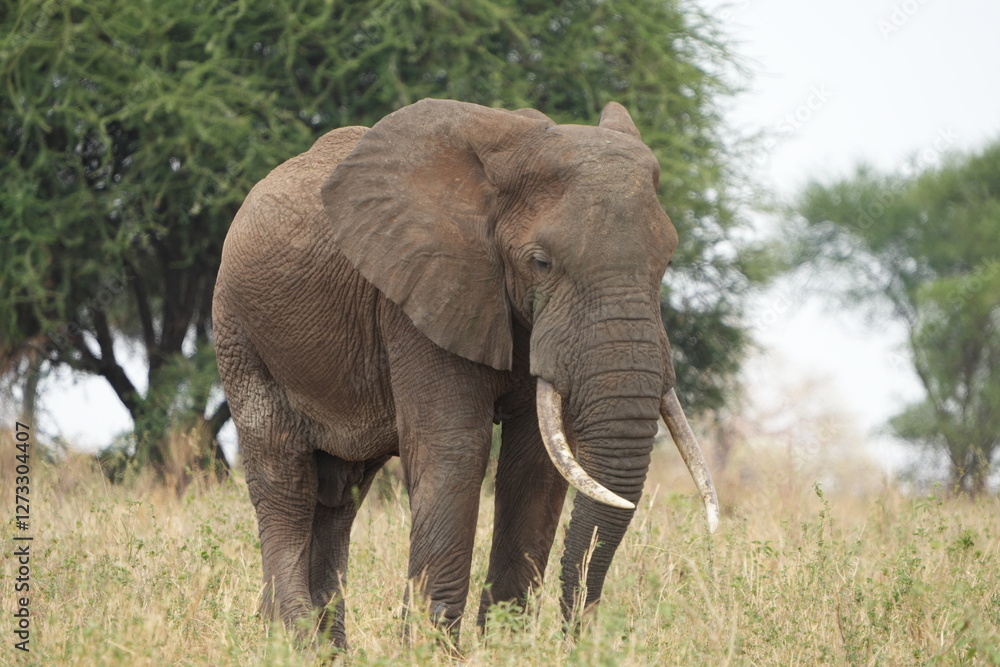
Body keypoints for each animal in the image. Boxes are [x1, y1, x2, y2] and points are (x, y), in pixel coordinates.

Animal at [212, 98, 719, 648]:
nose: (580, 636)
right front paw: (431, 650)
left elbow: (535, 463)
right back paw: (294, 639)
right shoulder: (419, 292)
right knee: (284, 478)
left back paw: (321, 648)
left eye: (666, 262)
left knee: (339, 494)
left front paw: (507, 647)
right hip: (240, 333)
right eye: (541, 262)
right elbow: (455, 449)